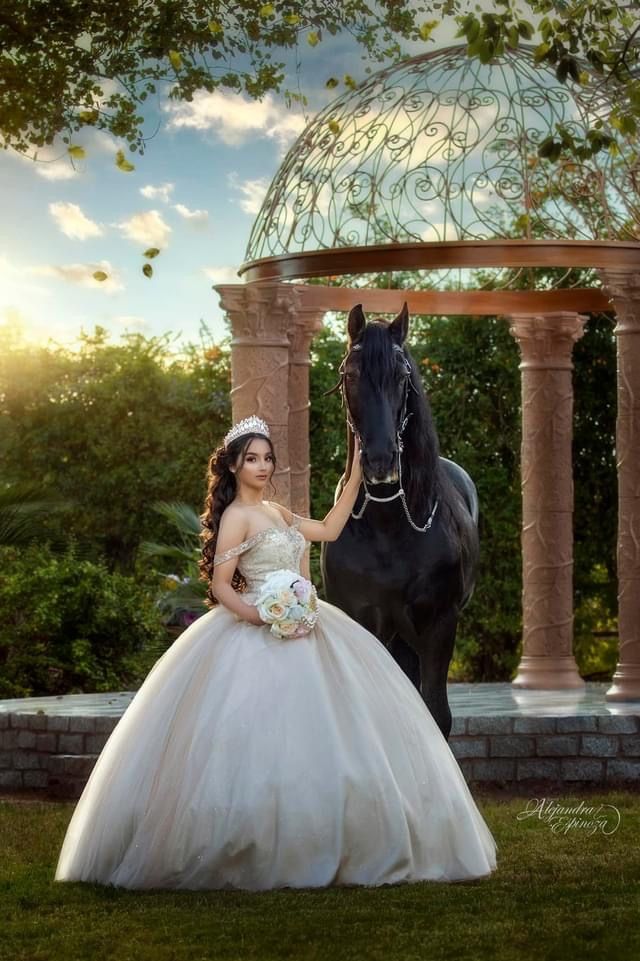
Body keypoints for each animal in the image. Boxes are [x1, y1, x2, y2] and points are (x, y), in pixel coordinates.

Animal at [320, 304, 480, 740]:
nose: (380, 463)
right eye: (350, 373)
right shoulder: (364, 621)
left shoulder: (438, 625)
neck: (388, 524)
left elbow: (436, 715)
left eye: (402, 375)